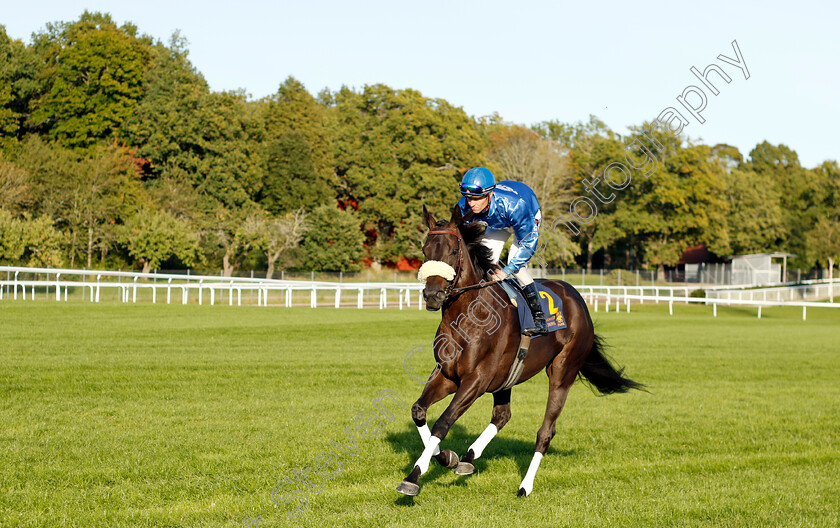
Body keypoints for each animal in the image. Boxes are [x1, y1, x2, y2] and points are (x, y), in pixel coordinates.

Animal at [396, 202, 644, 496]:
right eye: (425, 250)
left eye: (454, 251)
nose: (433, 295)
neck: (467, 316)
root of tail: (577, 298)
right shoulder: (447, 376)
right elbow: (419, 411)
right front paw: (446, 457)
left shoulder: (475, 380)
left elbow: (443, 422)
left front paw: (413, 477)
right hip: (507, 377)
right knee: (502, 415)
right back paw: (469, 458)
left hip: (563, 372)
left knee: (546, 431)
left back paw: (525, 485)